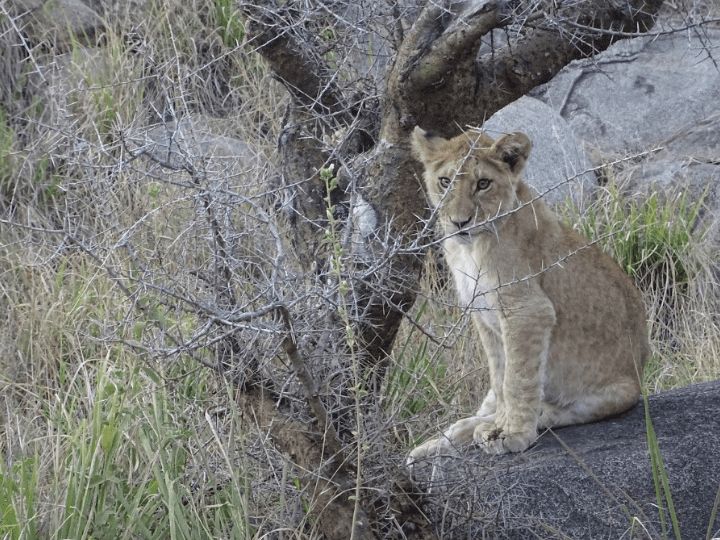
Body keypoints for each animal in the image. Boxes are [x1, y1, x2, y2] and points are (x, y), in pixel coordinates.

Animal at [407, 127, 648, 462]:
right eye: (445, 182)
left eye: (483, 184)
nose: (459, 222)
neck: (469, 248)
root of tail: (641, 364)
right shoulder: (483, 316)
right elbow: (500, 374)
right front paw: (496, 424)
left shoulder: (527, 310)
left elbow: (517, 377)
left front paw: (511, 433)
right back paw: (444, 438)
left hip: (617, 392)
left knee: (565, 409)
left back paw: (535, 417)